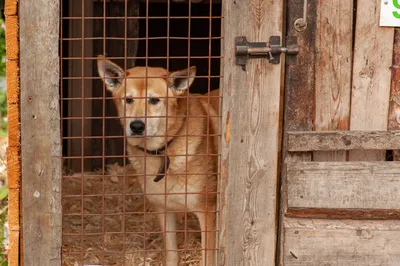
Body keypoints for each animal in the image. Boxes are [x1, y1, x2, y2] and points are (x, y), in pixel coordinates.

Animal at [98, 55, 220, 264]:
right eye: (128, 100)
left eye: (154, 100)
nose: (137, 126)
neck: (162, 151)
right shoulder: (163, 209)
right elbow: (171, 253)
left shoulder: (207, 212)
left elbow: (207, 257)